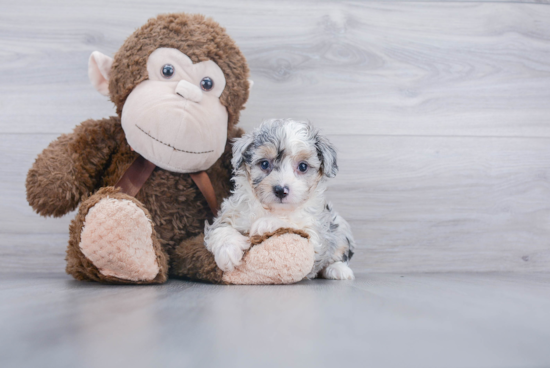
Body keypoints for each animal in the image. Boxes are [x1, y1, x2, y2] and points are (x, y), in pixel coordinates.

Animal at [205, 119, 356, 280]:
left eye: (303, 166)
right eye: (264, 164)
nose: (280, 190)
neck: (272, 209)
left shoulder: (316, 235)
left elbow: (294, 225)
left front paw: (266, 223)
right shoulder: (231, 213)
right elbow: (221, 229)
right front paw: (227, 251)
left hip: (340, 228)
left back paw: (338, 269)